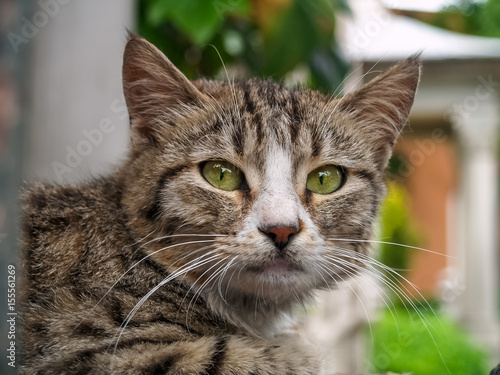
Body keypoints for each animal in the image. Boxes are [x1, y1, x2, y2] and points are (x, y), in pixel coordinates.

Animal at [20, 33, 422, 374]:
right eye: (220, 174)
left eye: (325, 179)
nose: (281, 229)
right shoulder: (90, 348)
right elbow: (233, 358)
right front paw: (294, 352)